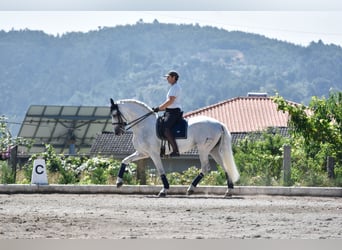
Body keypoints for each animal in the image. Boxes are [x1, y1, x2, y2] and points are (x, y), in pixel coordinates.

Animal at [111, 98, 239, 197]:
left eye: (114, 114)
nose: (117, 132)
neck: (143, 126)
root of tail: (219, 124)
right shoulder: (142, 153)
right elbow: (125, 160)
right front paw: (119, 182)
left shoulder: (153, 154)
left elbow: (161, 171)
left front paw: (164, 190)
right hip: (214, 150)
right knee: (225, 167)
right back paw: (228, 191)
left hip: (204, 149)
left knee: (205, 168)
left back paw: (191, 189)